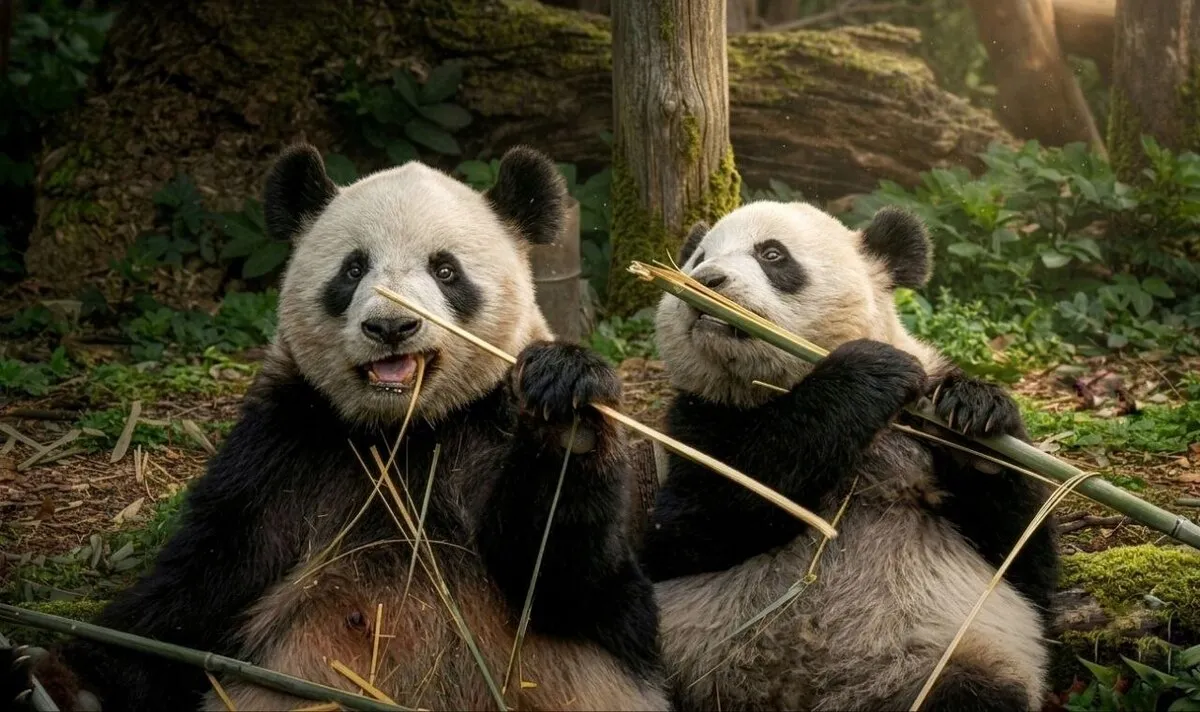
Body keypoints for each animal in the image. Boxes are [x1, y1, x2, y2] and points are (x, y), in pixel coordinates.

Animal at [4, 144, 668, 711]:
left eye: (446, 270)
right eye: (352, 270)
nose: (392, 327)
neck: (407, 433)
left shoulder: (487, 426)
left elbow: (571, 583)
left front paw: (568, 409)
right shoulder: (288, 444)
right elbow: (199, 586)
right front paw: (63, 679)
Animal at [638, 201, 1059, 711]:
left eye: (772, 254)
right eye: (698, 257)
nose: (706, 279)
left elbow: (1023, 560)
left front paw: (976, 415)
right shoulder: (695, 420)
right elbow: (690, 522)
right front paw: (869, 370)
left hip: (940, 658)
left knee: (974, 692)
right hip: (685, 662)